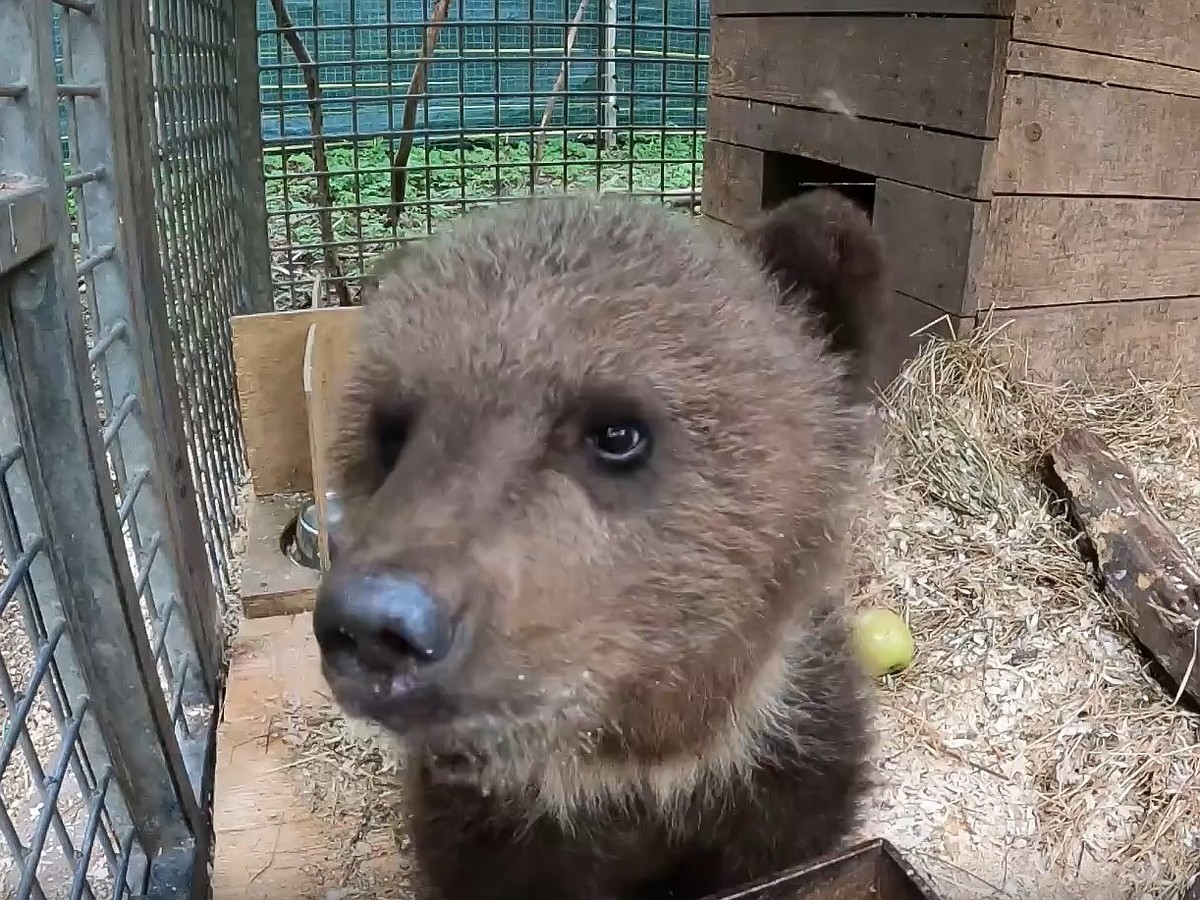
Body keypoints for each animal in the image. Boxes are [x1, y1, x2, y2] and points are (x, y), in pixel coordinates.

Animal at [314, 187, 888, 897]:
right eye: (390, 431)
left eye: (618, 432)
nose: (375, 620)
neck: (635, 774)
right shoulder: (490, 838)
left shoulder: (787, 782)